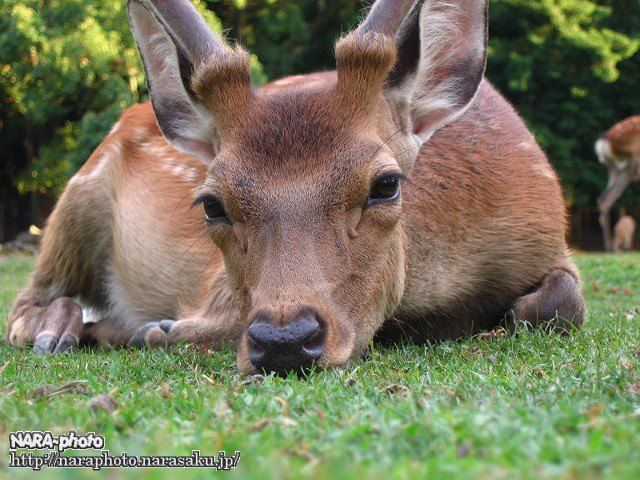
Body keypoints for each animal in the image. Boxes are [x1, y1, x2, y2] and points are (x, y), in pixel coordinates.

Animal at [3, 0, 584, 374]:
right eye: (211, 204)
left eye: (386, 185)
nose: (284, 340)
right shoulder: (214, 287)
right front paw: (157, 330)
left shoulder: (551, 238)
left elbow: (562, 304)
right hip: (77, 199)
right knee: (26, 301)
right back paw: (58, 328)